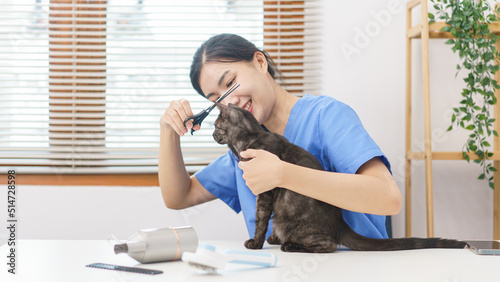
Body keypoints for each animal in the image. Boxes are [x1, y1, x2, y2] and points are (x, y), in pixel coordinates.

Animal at [213, 103, 466, 253]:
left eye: (216, 125)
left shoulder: (265, 192)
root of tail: (340, 224)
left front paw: (255, 243)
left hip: (292, 224)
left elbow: (260, 220)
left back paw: (290, 246)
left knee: (329, 245)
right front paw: (270, 239)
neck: (249, 138)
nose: (213, 134)